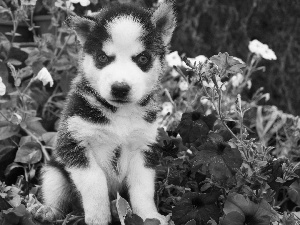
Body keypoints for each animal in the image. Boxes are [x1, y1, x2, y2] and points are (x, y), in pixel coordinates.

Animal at [40, 1, 176, 225]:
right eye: (103, 57)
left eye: (143, 58)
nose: (120, 88)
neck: (119, 114)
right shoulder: (74, 143)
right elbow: (95, 182)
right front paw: (98, 217)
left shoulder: (144, 148)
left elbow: (143, 189)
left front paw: (149, 216)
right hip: (53, 171)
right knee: (56, 192)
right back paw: (48, 211)